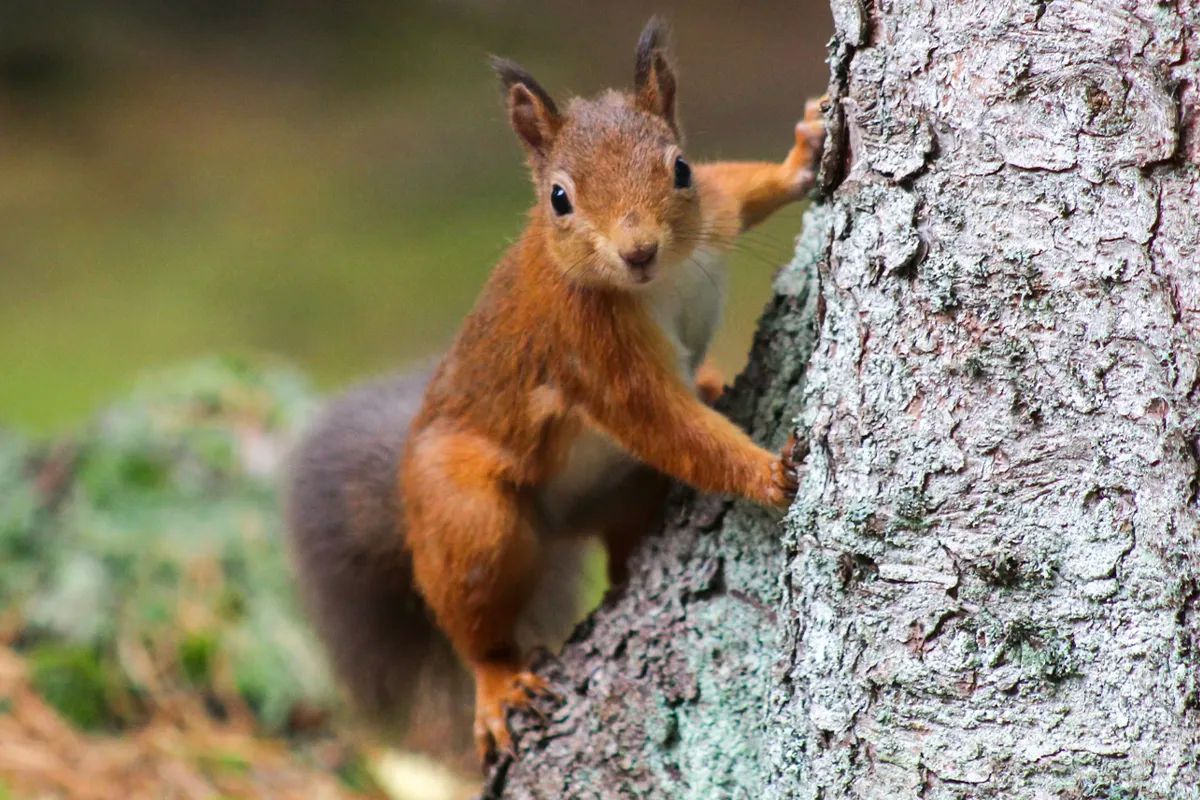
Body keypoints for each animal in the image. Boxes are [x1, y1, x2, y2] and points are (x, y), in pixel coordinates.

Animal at [286, 17, 826, 767]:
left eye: (680, 168)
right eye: (559, 199)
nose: (638, 250)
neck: (658, 283)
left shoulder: (712, 214)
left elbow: (739, 187)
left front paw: (804, 152)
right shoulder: (592, 352)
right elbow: (667, 424)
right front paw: (769, 472)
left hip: (626, 494)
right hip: (468, 517)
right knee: (474, 615)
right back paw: (497, 684)